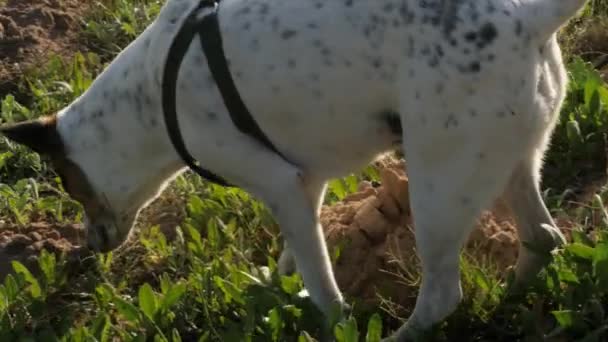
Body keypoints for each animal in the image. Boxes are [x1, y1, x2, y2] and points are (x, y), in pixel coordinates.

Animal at [1, 0, 588, 340]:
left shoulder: (280, 185)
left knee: (443, 296)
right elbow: (296, 254)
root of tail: (527, 18)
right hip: (510, 162)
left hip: (438, 191)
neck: (151, 93)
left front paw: (330, 318)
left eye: (69, 185)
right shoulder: (307, 180)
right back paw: (511, 300)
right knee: (543, 238)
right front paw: (275, 283)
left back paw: (402, 336)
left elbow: (323, 286)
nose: (88, 244)